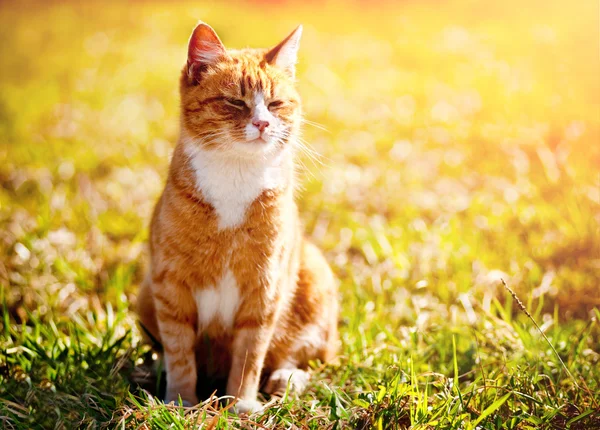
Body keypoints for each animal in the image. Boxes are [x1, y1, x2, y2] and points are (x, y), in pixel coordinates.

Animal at [138, 21, 340, 414]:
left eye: (275, 104)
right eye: (235, 101)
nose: (262, 123)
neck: (236, 174)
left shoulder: (264, 288)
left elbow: (250, 353)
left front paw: (240, 405)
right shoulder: (169, 285)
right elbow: (179, 351)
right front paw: (182, 402)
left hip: (314, 275)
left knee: (304, 356)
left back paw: (286, 379)